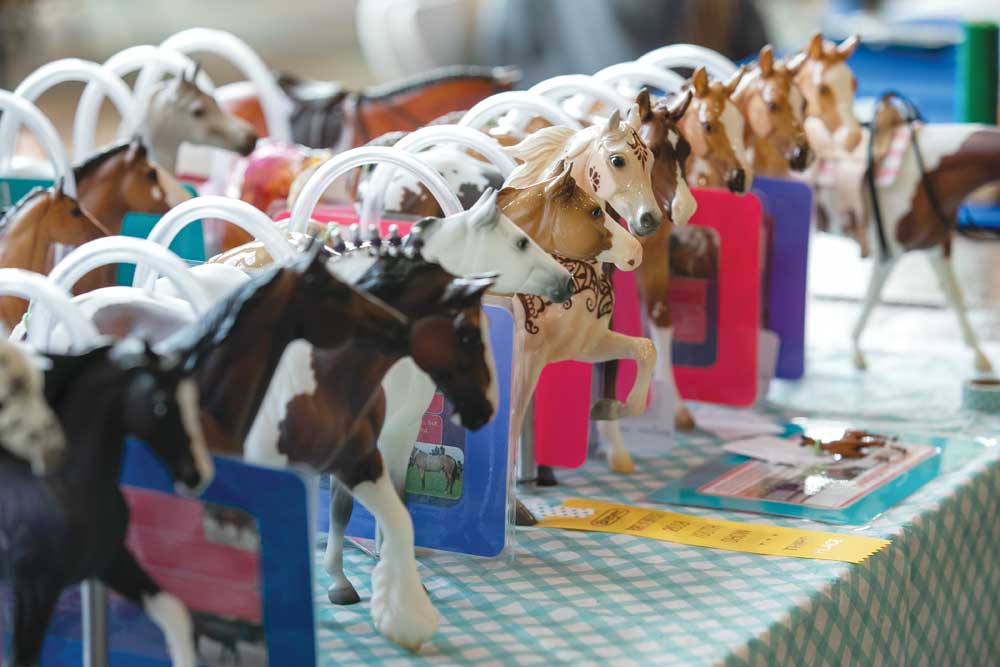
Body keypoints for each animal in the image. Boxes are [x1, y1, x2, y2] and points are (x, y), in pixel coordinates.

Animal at [0, 340, 213, 667]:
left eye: (194, 401)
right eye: (161, 405)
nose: (198, 476)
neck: (70, 488)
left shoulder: (111, 562)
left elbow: (175, 614)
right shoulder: (36, 588)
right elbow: (22, 659)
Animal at [792, 34, 996, 374]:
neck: (931, 172)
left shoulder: (937, 246)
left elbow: (954, 295)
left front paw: (980, 355)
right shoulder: (888, 253)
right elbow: (873, 298)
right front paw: (855, 351)